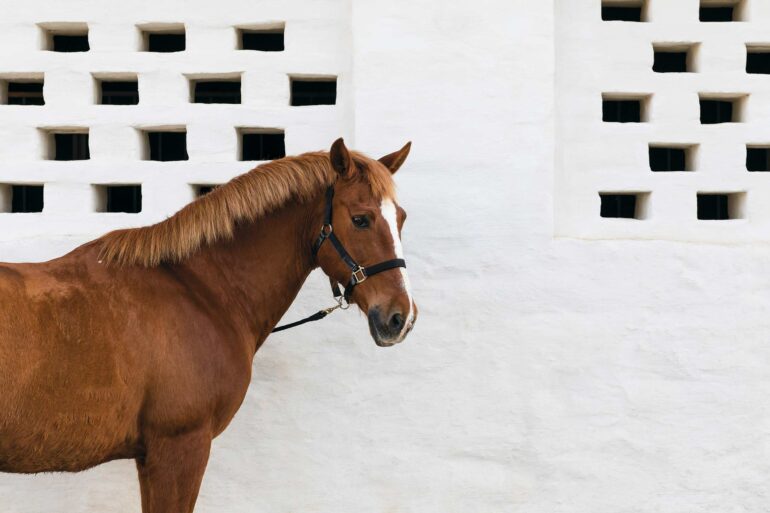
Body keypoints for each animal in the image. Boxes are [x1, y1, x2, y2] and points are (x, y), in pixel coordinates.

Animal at [0, 138, 417, 512]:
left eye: (401, 218)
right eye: (360, 219)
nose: (400, 317)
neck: (199, 288)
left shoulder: (150, 455)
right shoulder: (180, 447)